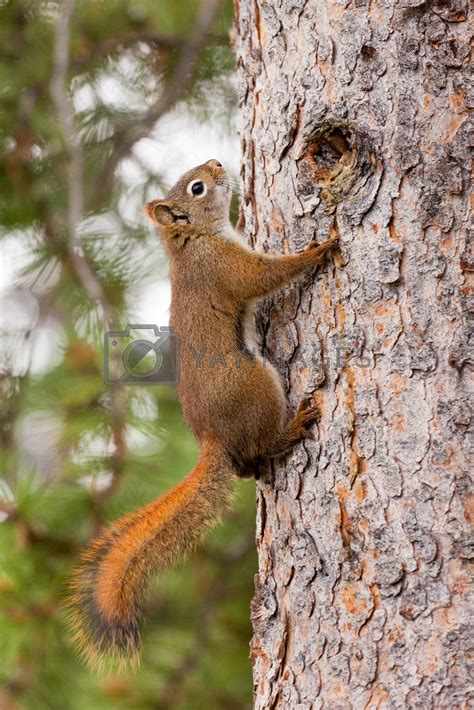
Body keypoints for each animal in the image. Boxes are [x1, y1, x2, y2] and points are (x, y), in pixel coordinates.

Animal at [68, 160, 338, 668]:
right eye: (197, 188)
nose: (215, 163)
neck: (194, 241)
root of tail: (213, 439)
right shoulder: (226, 267)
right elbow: (262, 277)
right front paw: (318, 249)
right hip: (256, 385)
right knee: (265, 444)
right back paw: (295, 424)